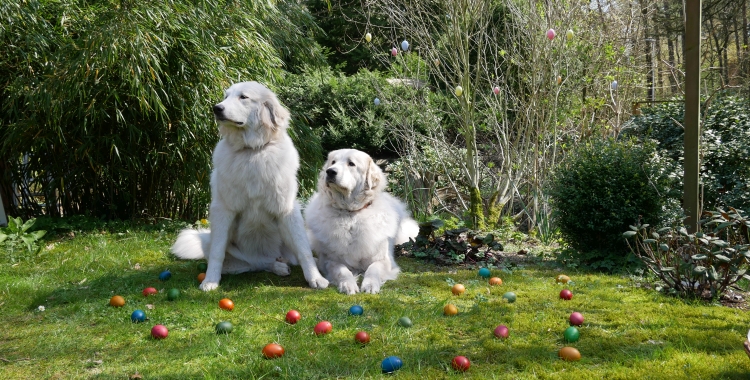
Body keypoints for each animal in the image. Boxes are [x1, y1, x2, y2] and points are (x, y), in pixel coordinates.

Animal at [176, 81, 332, 290]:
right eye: (226, 96)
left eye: (243, 97)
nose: (217, 108)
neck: (251, 151)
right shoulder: (222, 210)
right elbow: (217, 252)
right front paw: (210, 281)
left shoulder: (287, 209)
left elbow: (304, 250)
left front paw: (315, 278)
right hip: (218, 244)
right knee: (255, 264)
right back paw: (277, 266)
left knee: (290, 257)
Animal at [302, 148, 420, 294]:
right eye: (333, 162)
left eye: (351, 164)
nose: (330, 171)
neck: (351, 214)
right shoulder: (330, 261)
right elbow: (342, 270)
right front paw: (348, 285)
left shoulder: (383, 260)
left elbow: (373, 269)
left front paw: (370, 285)